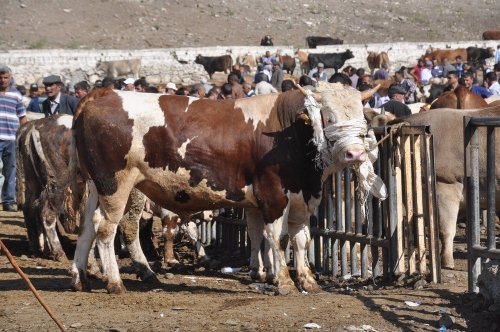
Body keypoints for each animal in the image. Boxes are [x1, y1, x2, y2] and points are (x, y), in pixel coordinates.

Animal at [70, 83, 384, 294]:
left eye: (362, 118)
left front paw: (301, 279)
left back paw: (80, 277)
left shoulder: (299, 199)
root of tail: (101, 94)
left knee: (87, 227)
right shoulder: (273, 196)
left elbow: (297, 239)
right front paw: (283, 281)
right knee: (108, 230)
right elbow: (277, 238)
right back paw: (116, 281)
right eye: (329, 117)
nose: (355, 153)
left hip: (96, 186)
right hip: (117, 186)